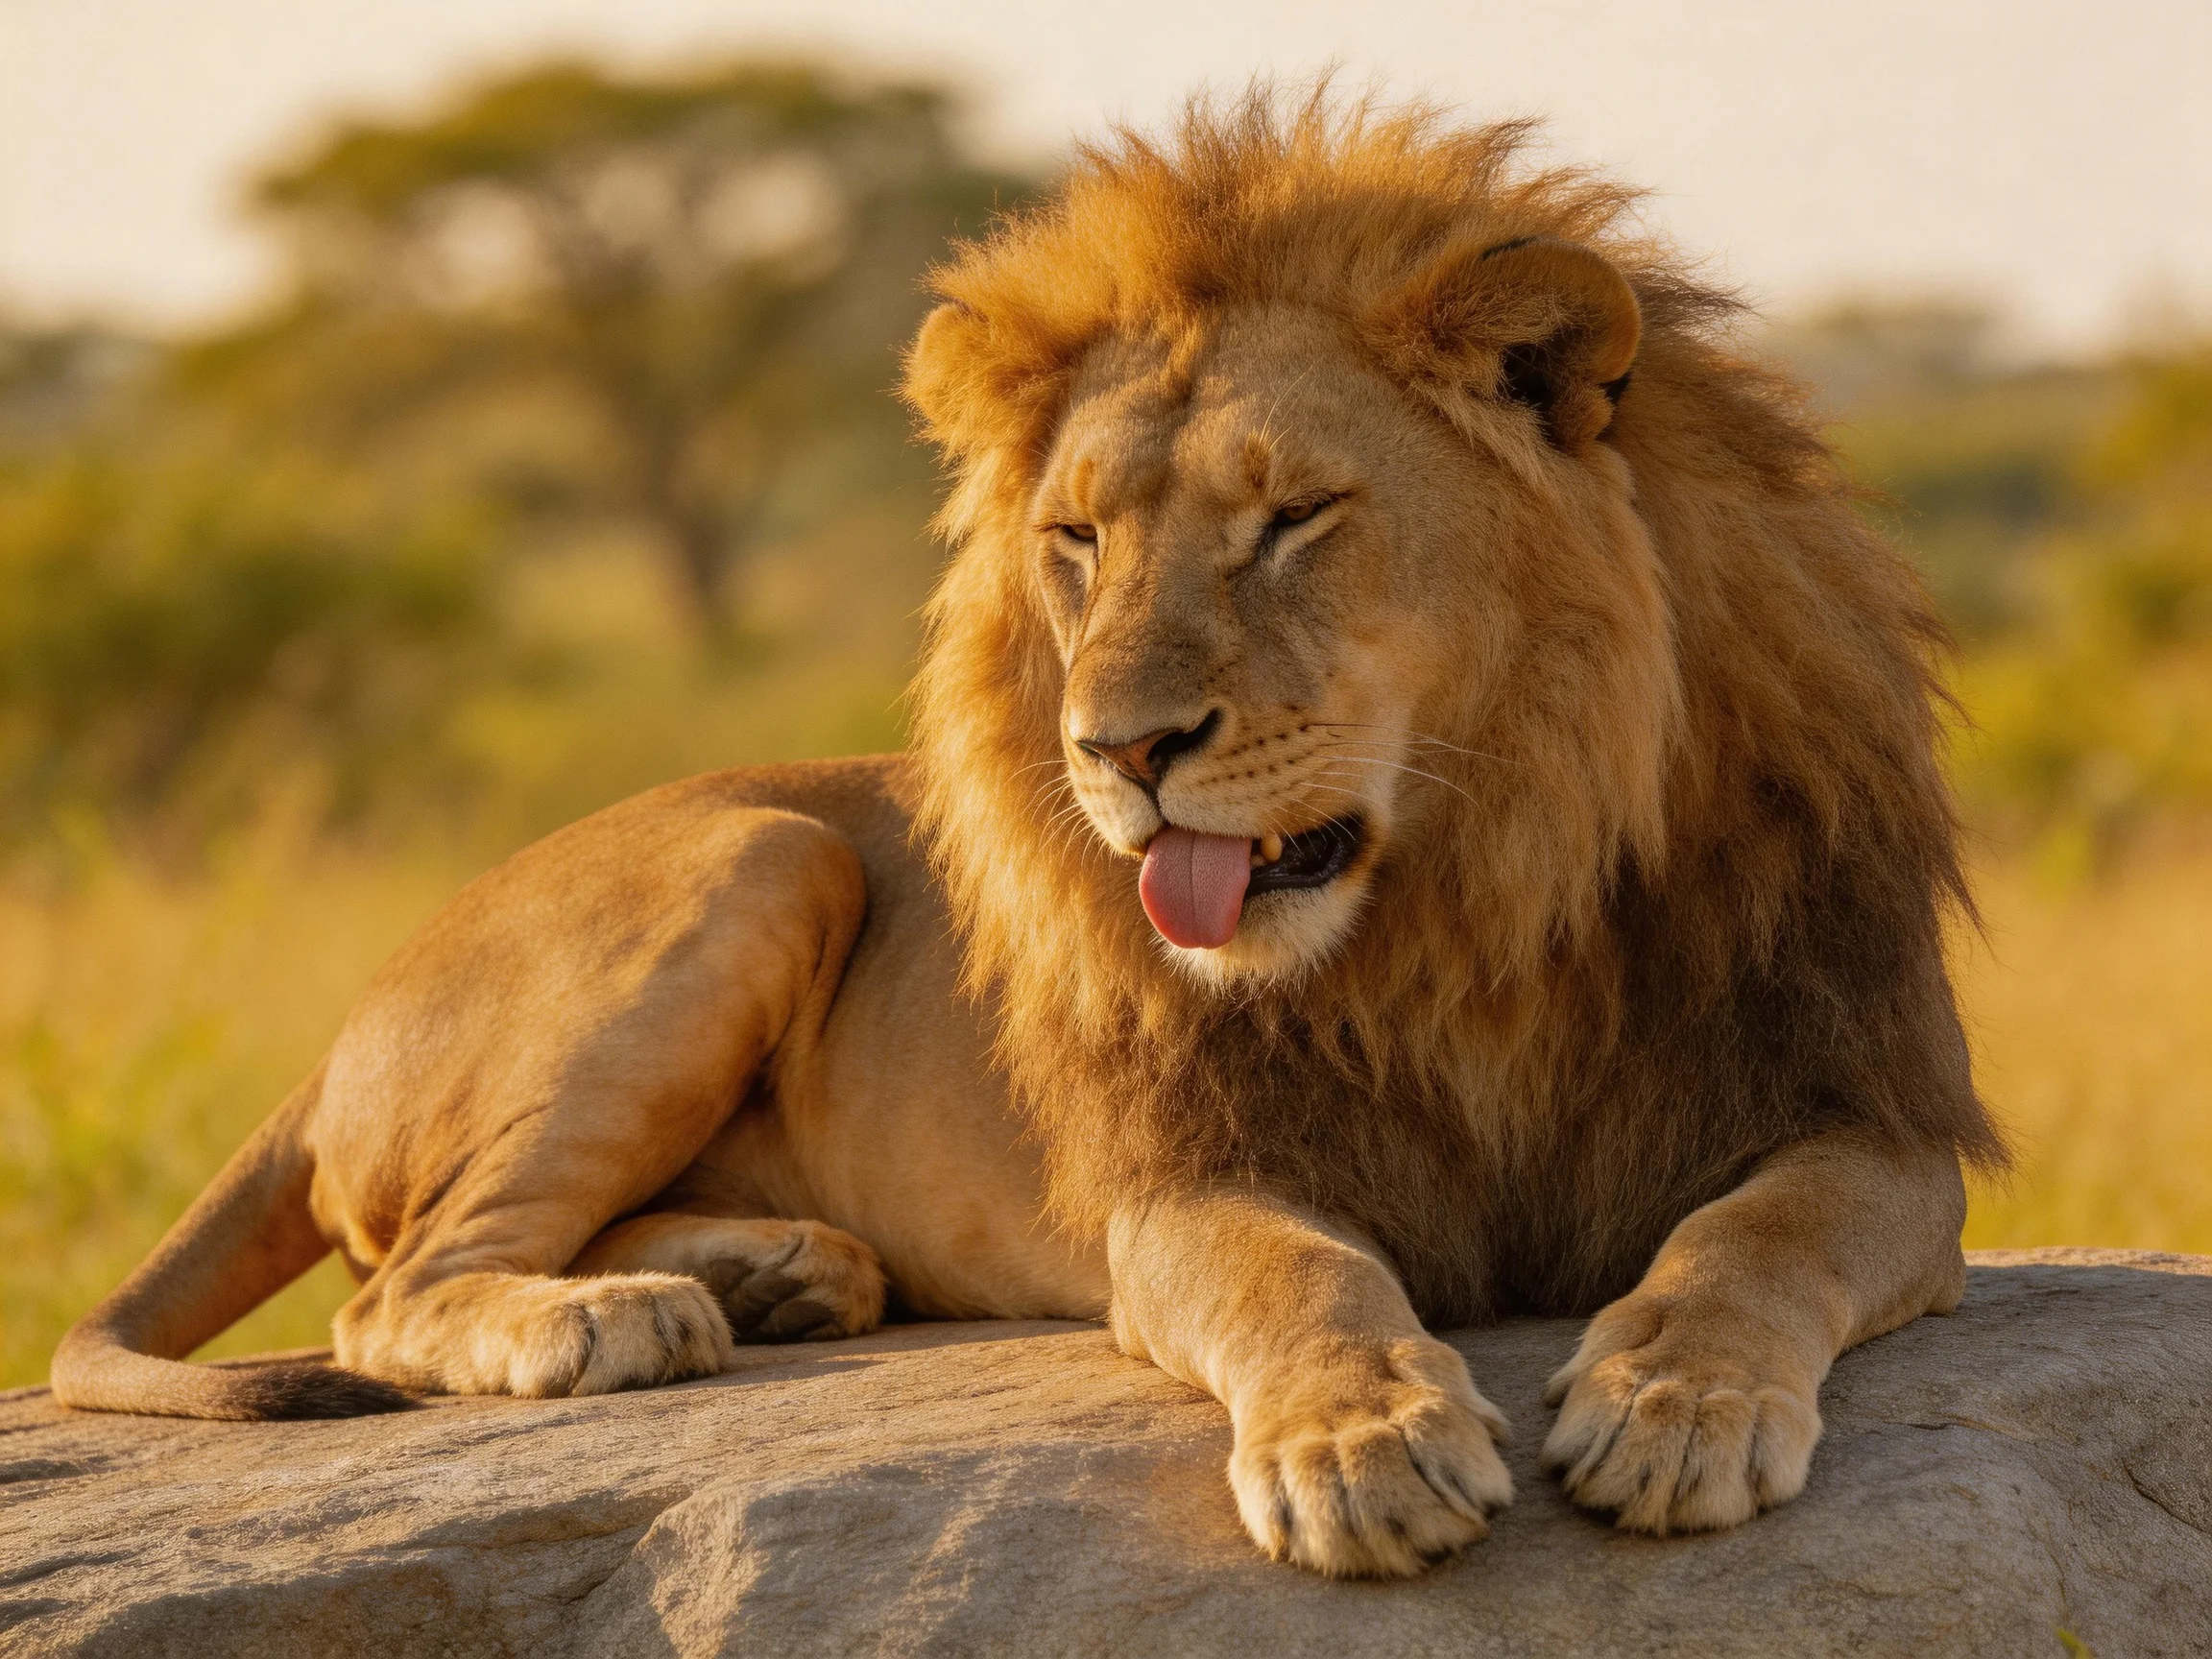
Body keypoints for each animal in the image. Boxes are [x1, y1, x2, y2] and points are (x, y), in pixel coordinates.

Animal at [51, 93, 2003, 1580]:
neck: (1475, 887)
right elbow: (1295, 1275)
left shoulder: (1876, 1113)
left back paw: (773, 1271)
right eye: (1076, 540)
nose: (1116, 748)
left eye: (1295, 517)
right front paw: (1361, 1442)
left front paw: (1677, 1405)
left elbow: (1755, 1236)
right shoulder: (1184, 1177)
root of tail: (337, 1042)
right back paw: (608, 1317)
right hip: (771, 855)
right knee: (392, 1291)